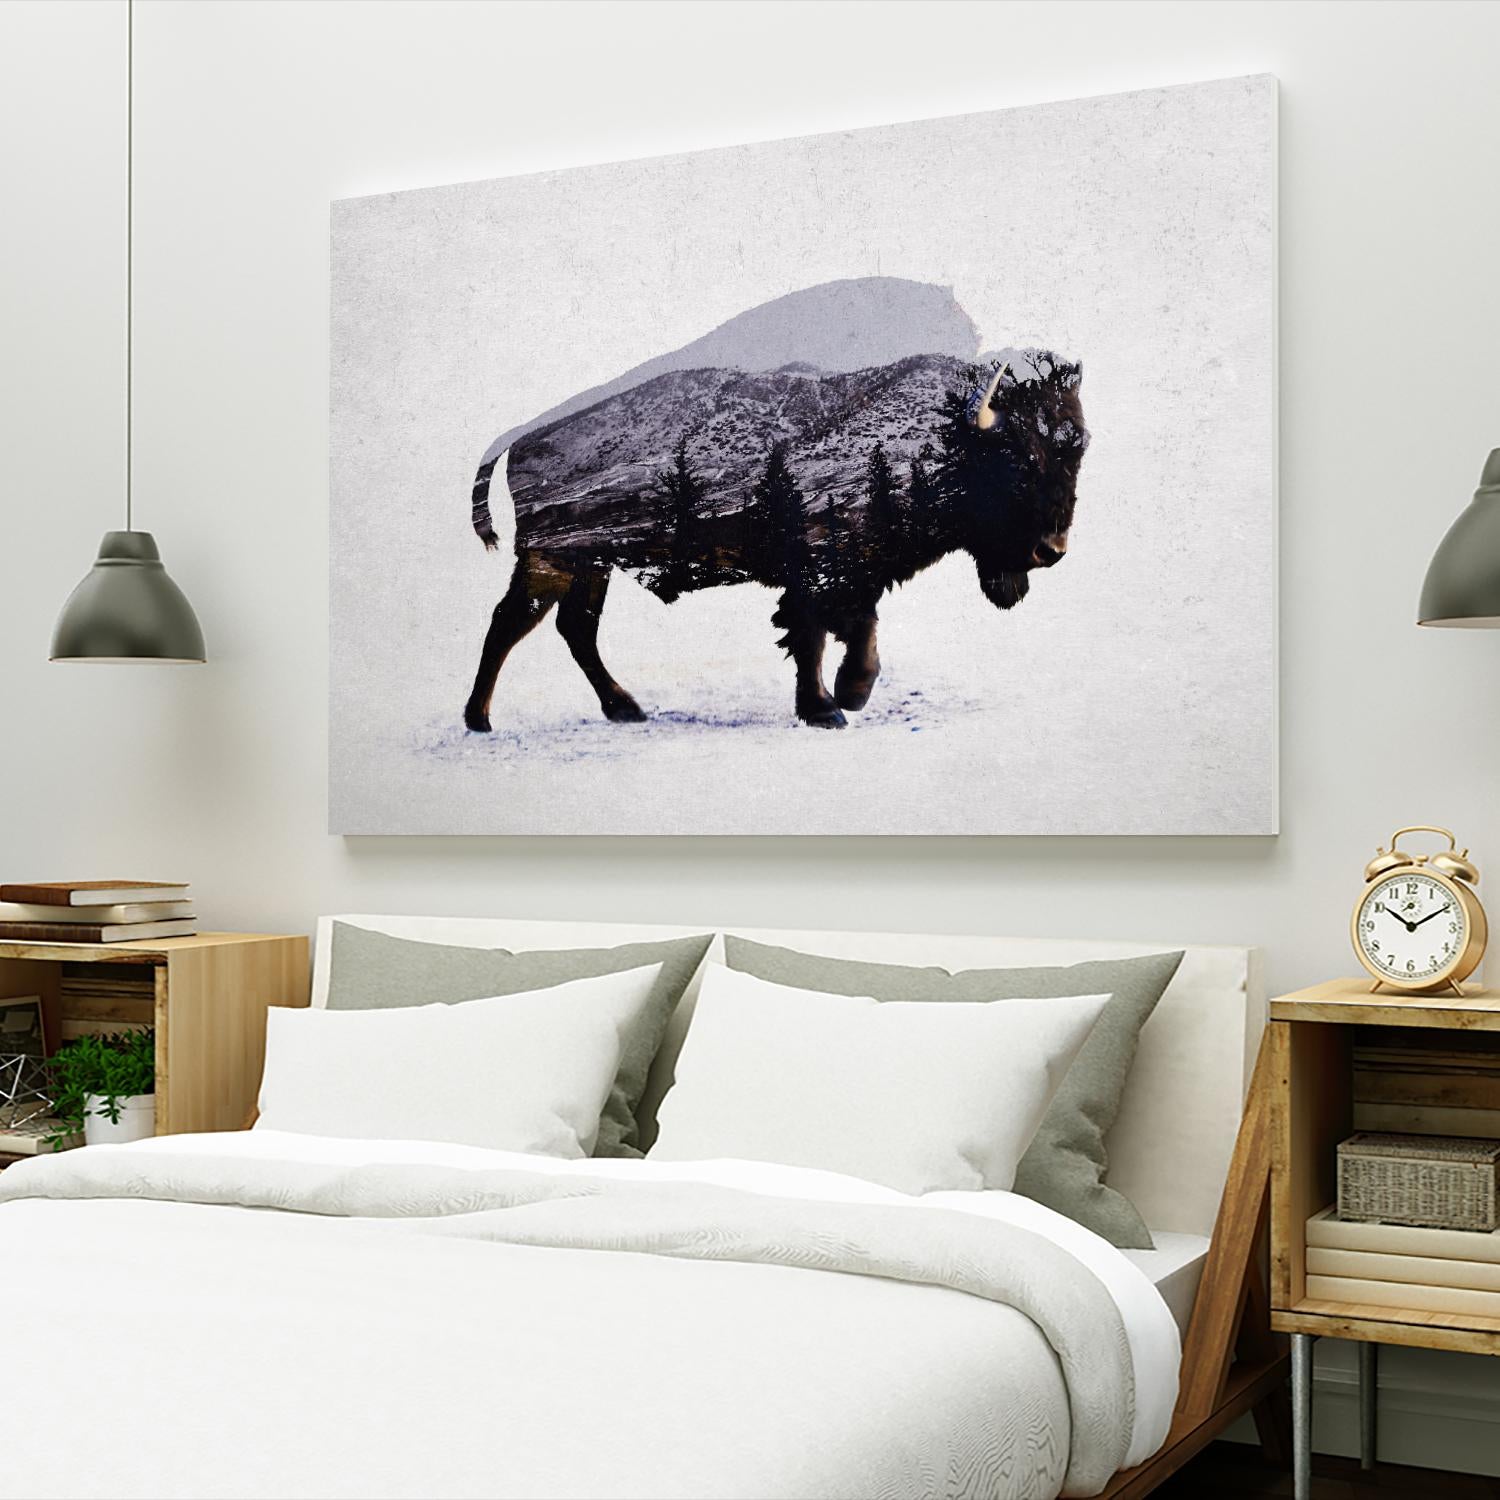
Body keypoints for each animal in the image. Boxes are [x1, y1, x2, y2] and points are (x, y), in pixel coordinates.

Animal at [464, 351, 1088, 731]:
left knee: (575, 628)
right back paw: (480, 719)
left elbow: (859, 632)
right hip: (553, 558)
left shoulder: (858, 573)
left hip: (591, 563)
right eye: (1019, 461)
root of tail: (521, 438)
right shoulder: (819, 570)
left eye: (1074, 458)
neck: (943, 434)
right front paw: (830, 708)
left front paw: (849, 694)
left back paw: (625, 709)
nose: (1051, 551)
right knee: (511, 622)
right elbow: (813, 635)